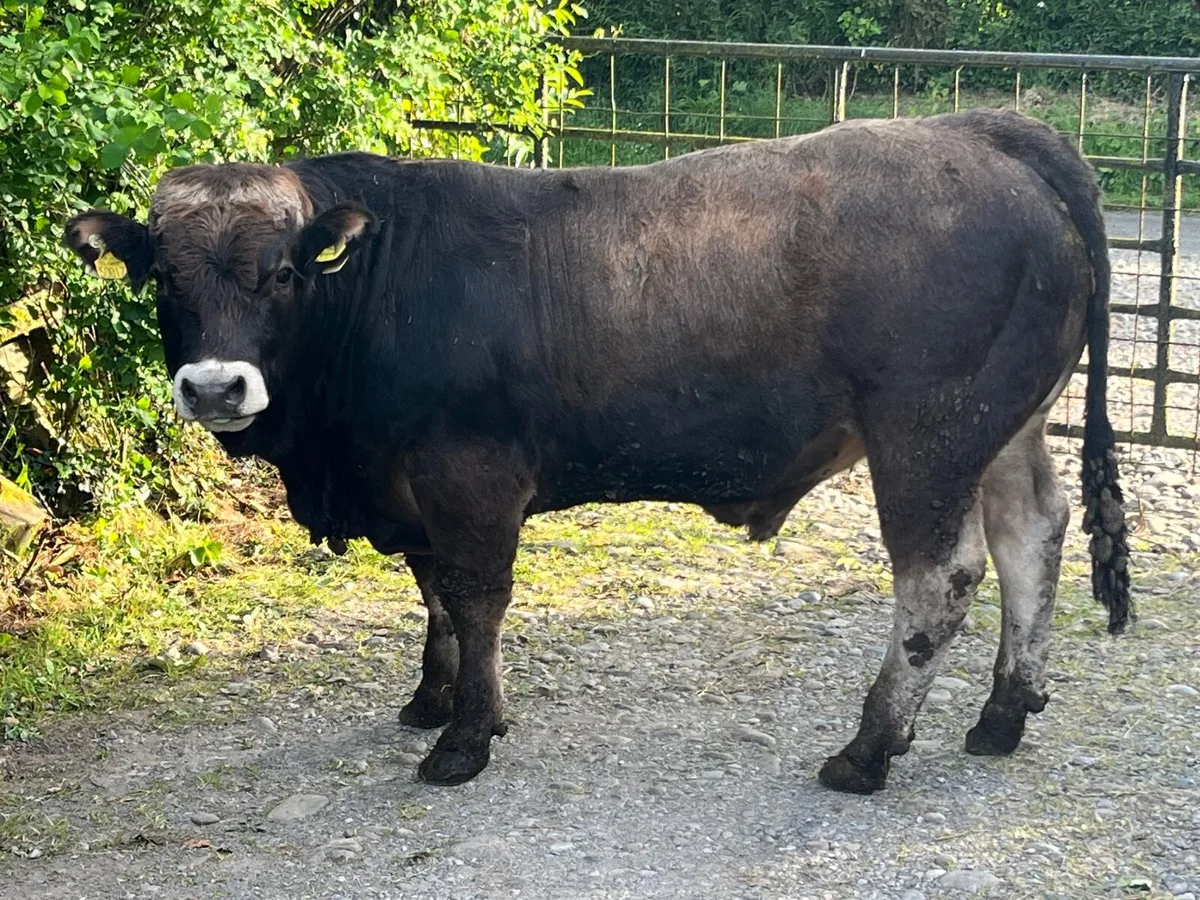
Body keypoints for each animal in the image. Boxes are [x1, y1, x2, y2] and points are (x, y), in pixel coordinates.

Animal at [64, 108, 1130, 794]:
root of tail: (981, 128)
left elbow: (476, 597)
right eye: (162, 277)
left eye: (283, 271)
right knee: (1033, 536)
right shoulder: (411, 484)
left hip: (925, 434)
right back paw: (1003, 712)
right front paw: (431, 697)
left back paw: (869, 750)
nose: (215, 388)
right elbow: (434, 592)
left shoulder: (469, 475)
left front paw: (465, 738)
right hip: (1005, 425)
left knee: (940, 579)